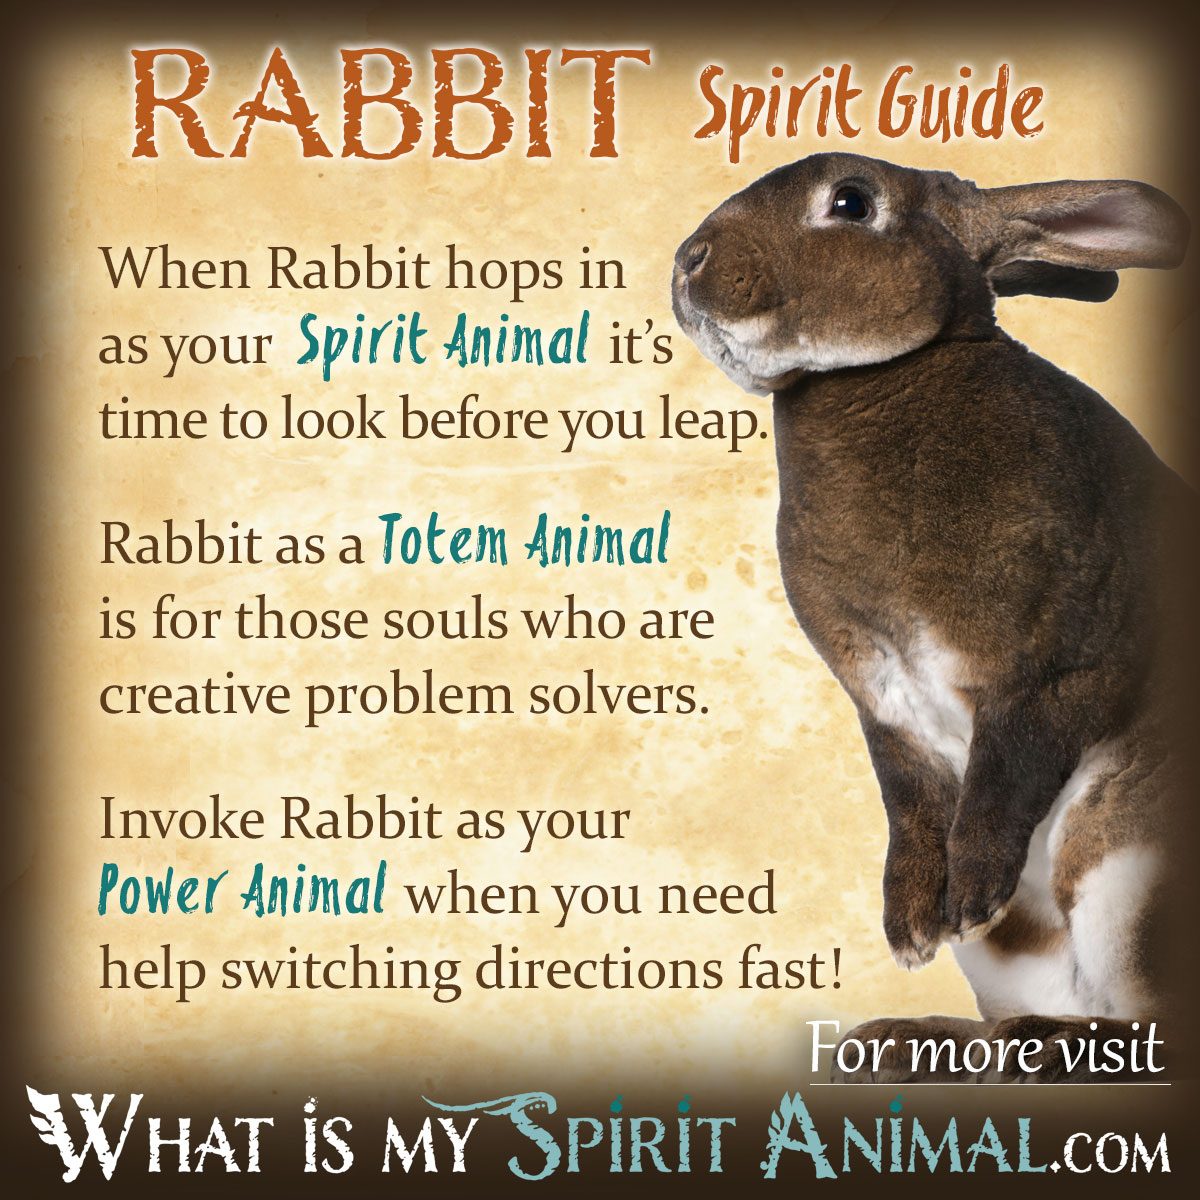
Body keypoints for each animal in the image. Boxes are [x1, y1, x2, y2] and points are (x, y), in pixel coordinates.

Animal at [671, 152, 1193, 1082]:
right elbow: (911, 803)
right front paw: (915, 926)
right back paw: (904, 1042)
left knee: (1154, 1037)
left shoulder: (1053, 674)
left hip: (1128, 878)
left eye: (851, 202)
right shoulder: (887, 706)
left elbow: (1004, 774)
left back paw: (1038, 1049)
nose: (688, 260)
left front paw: (972, 891)